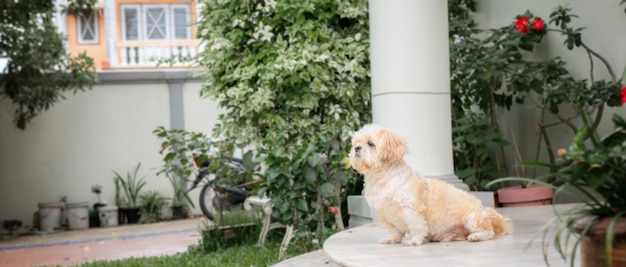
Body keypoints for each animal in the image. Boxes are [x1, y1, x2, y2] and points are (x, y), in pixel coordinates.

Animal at [348, 125, 510, 247]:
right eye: (356, 143)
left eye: (370, 143)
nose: (357, 148)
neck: (383, 178)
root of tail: (485, 211)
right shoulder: (384, 215)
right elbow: (394, 231)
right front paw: (392, 239)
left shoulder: (411, 209)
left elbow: (416, 227)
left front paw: (414, 240)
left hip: (473, 218)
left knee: (488, 232)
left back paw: (476, 236)